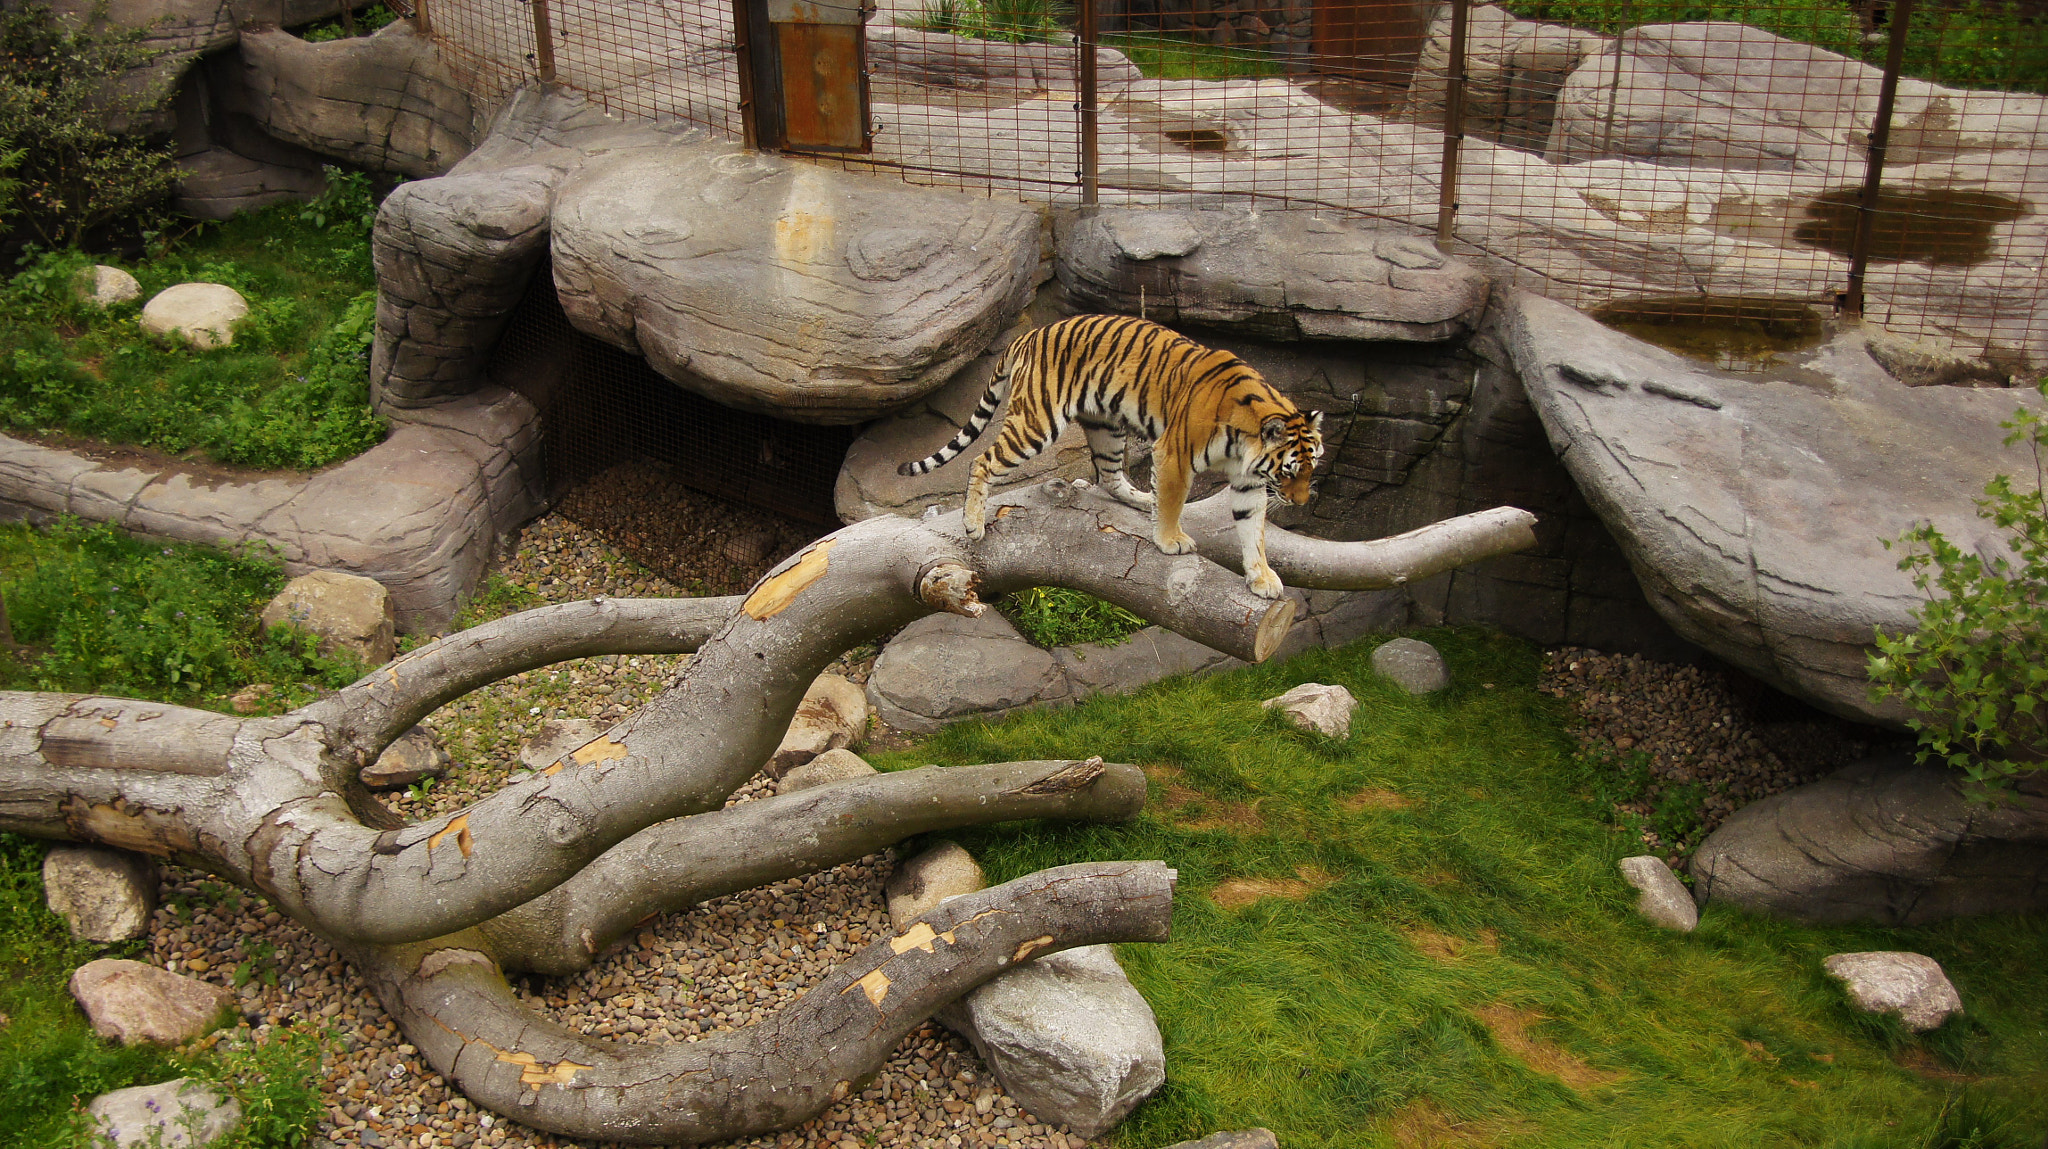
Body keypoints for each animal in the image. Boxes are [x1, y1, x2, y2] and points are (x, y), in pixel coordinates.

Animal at [898, 314, 1324, 599]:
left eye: (1310, 468)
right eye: (1289, 472)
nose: (1303, 501)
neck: (1246, 441)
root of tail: (1028, 335)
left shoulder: (1249, 481)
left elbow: (1254, 530)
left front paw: (1262, 578)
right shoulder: (1173, 454)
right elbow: (1174, 501)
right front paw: (1170, 541)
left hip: (1106, 427)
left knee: (1108, 477)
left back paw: (1143, 499)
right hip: (1036, 423)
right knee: (981, 460)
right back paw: (973, 523)